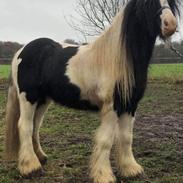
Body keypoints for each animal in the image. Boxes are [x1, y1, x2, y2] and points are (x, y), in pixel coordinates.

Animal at [5, 0, 179, 182]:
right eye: (147, 3)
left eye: (171, 3)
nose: (170, 24)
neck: (119, 60)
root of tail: (21, 51)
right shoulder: (112, 107)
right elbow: (106, 140)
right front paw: (103, 175)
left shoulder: (130, 106)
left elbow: (126, 138)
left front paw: (130, 170)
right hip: (28, 97)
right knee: (24, 125)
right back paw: (30, 167)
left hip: (43, 100)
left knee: (35, 125)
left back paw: (40, 157)